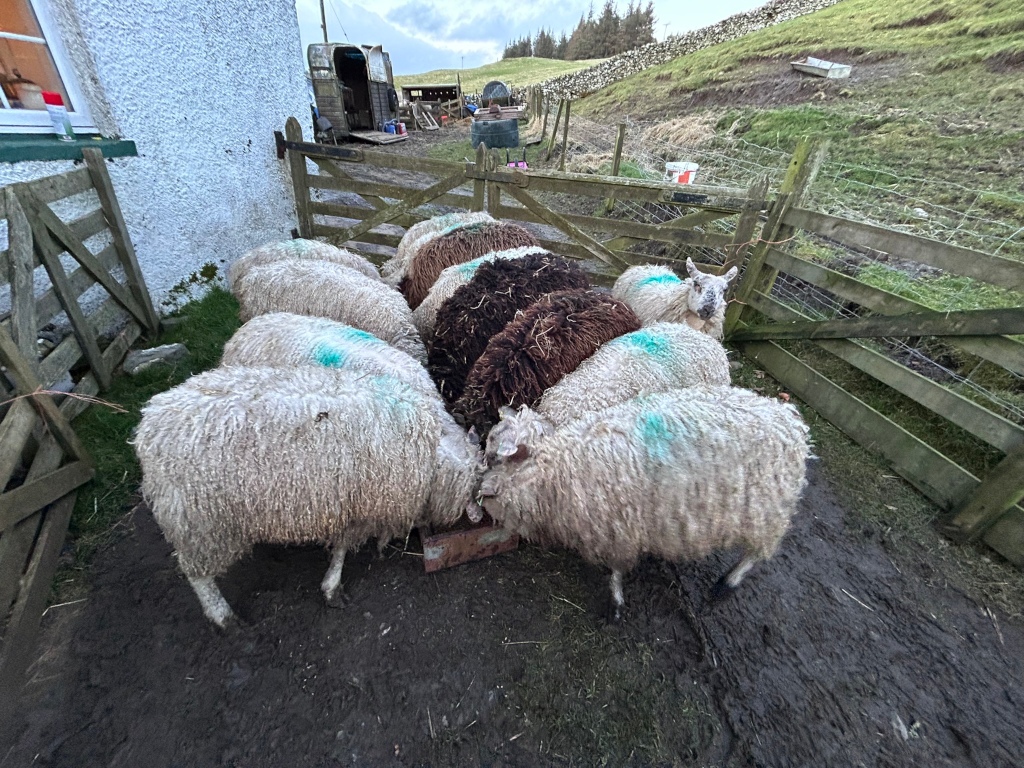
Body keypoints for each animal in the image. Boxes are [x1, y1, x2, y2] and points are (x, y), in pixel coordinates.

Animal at [134, 365, 485, 627]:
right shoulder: (360, 506)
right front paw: (332, 587)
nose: (478, 516)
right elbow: (342, 549)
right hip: (199, 521)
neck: (430, 448)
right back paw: (223, 617)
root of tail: (149, 424)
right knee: (198, 575)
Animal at [478, 386, 811, 621]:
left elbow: (616, 569)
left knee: (756, 553)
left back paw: (727, 583)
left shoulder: (618, 528)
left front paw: (615, 604)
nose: (479, 492)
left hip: (766, 509)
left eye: (494, 457)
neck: (560, 461)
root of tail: (790, 418)